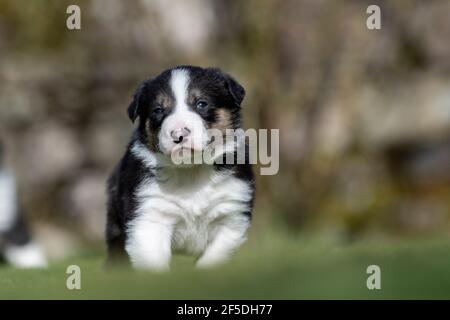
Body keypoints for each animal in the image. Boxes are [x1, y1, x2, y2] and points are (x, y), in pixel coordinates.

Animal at [105, 65, 253, 270]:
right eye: (158, 110)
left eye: (201, 104)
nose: (178, 134)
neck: (191, 170)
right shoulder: (149, 216)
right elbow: (153, 261)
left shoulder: (232, 215)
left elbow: (215, 256)